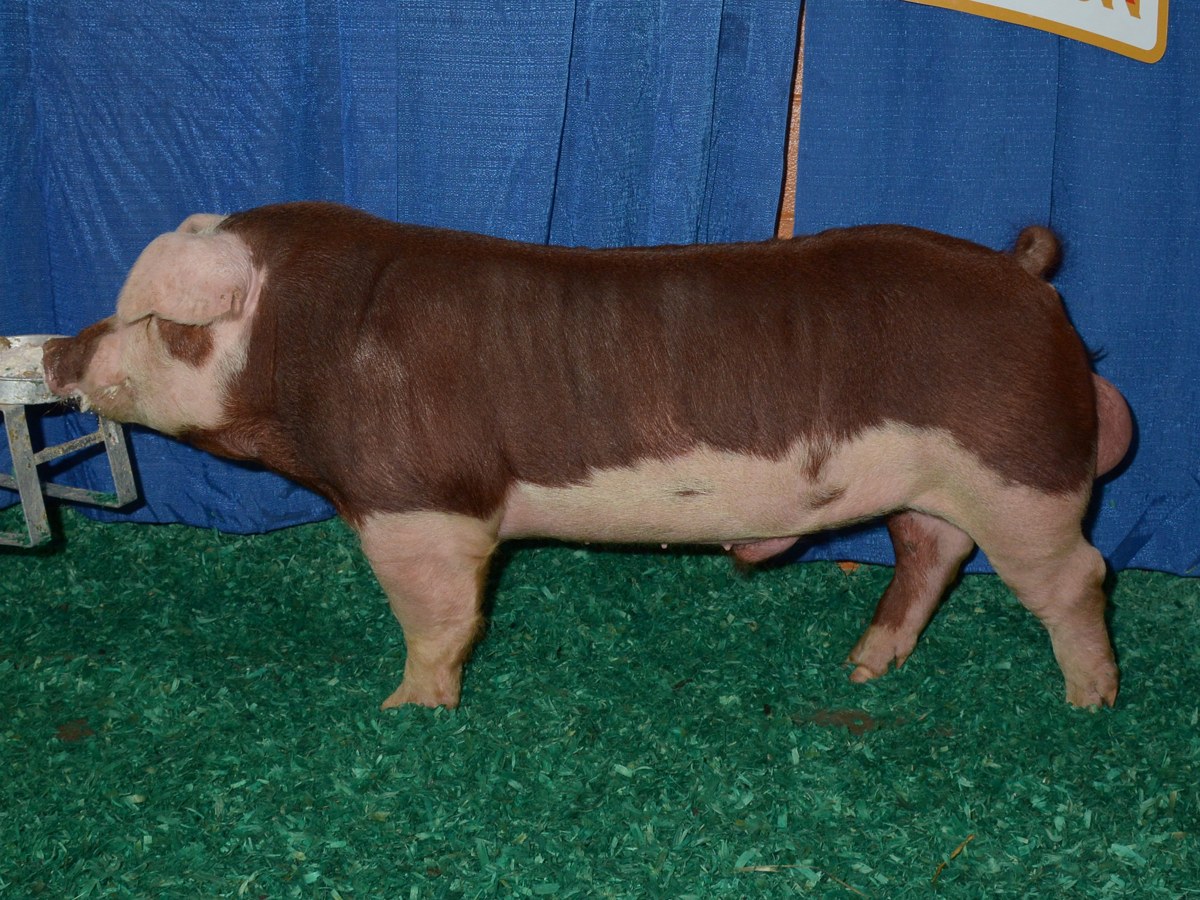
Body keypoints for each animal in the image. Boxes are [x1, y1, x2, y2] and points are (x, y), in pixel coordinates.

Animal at [42, 201, 1133, 711]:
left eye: (150, 319)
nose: (57, 352)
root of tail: (1024, 274)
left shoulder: (419, 501)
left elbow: (441, 619)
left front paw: (405, 711)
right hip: (942, 488)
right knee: (932, 552)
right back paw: (861, 671)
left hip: (1022, 475)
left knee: (1078, 573)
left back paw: (1090, 701)